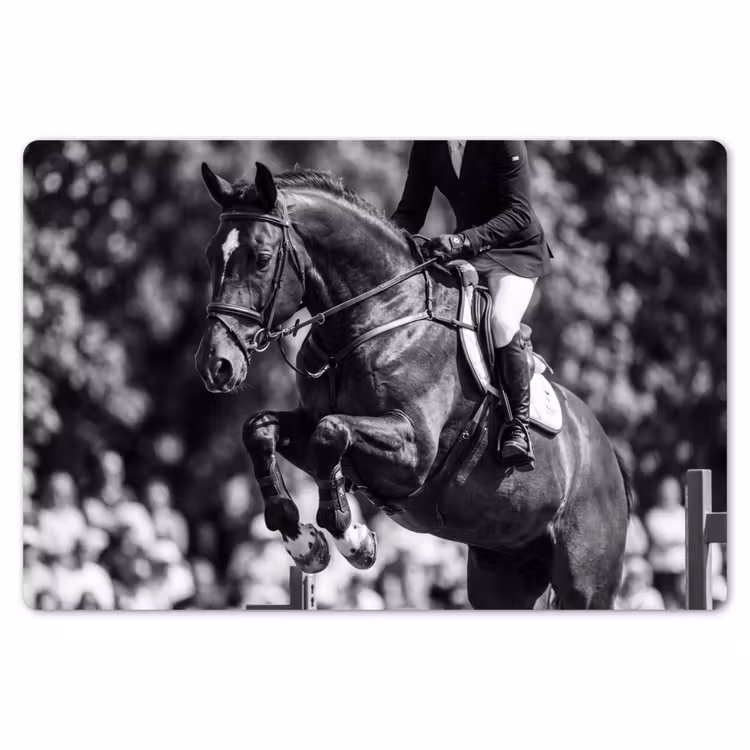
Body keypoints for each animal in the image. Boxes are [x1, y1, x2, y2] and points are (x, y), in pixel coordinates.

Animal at [194, 161, 632, 609]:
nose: (216, 365)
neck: (375, 316)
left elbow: (330, 433)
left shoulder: (414, 451)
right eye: (212, 255)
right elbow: (261, 430)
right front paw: (303, 543)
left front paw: (354, 539)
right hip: (503, 571)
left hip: (585, 583)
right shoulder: (311, 423)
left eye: (262, 258)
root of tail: (608, 455)